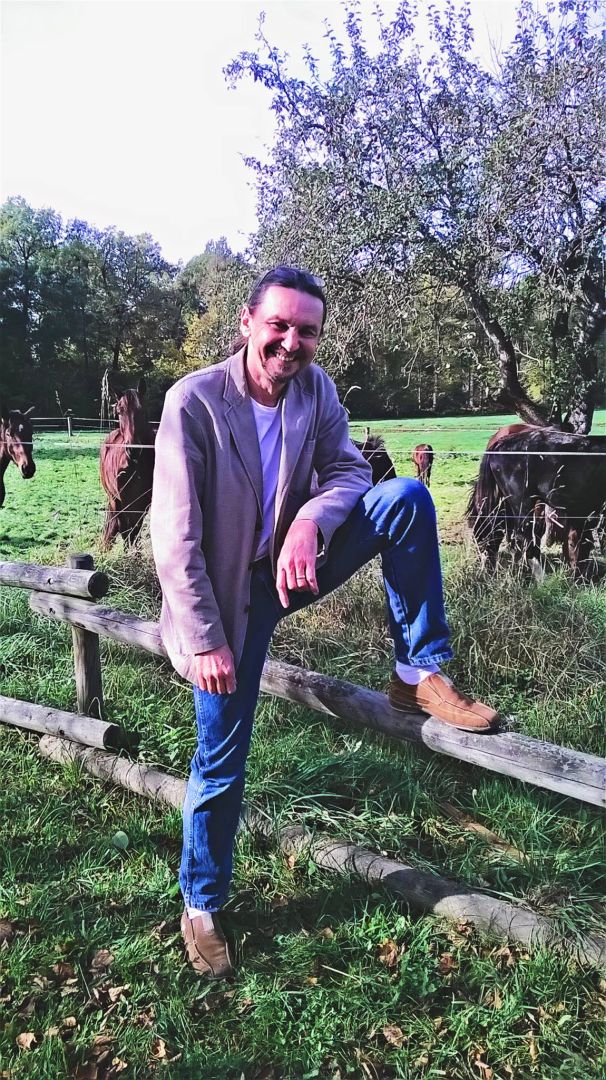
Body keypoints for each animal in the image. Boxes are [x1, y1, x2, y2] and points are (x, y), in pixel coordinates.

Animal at [99, 380, 155, 548]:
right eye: (119, 412)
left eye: (142, 411)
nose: (133, 449)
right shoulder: (123, 502)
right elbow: (126, 531)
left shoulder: (143, 503)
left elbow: (135, 530)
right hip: (113, 499)